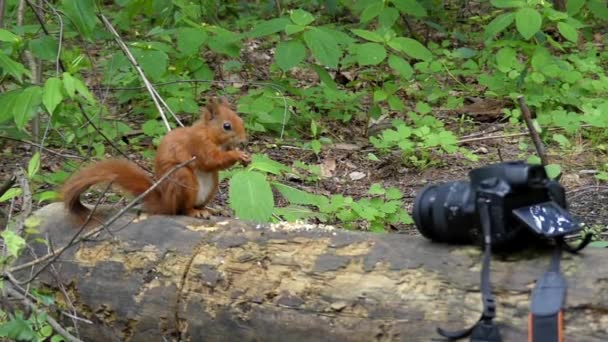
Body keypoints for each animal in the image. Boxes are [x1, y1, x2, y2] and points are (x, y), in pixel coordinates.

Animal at [60, 97, 251, 223]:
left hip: (212, 184)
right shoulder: (198, 144)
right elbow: (211, 160)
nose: (243, 140)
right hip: (182, 179)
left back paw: (209, 209)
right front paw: (237, 155)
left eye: (240, 120)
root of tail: (165, 202)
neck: (209, 133)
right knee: (181, 210)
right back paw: (194, 212)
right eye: (227, 126)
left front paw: (243, 157)